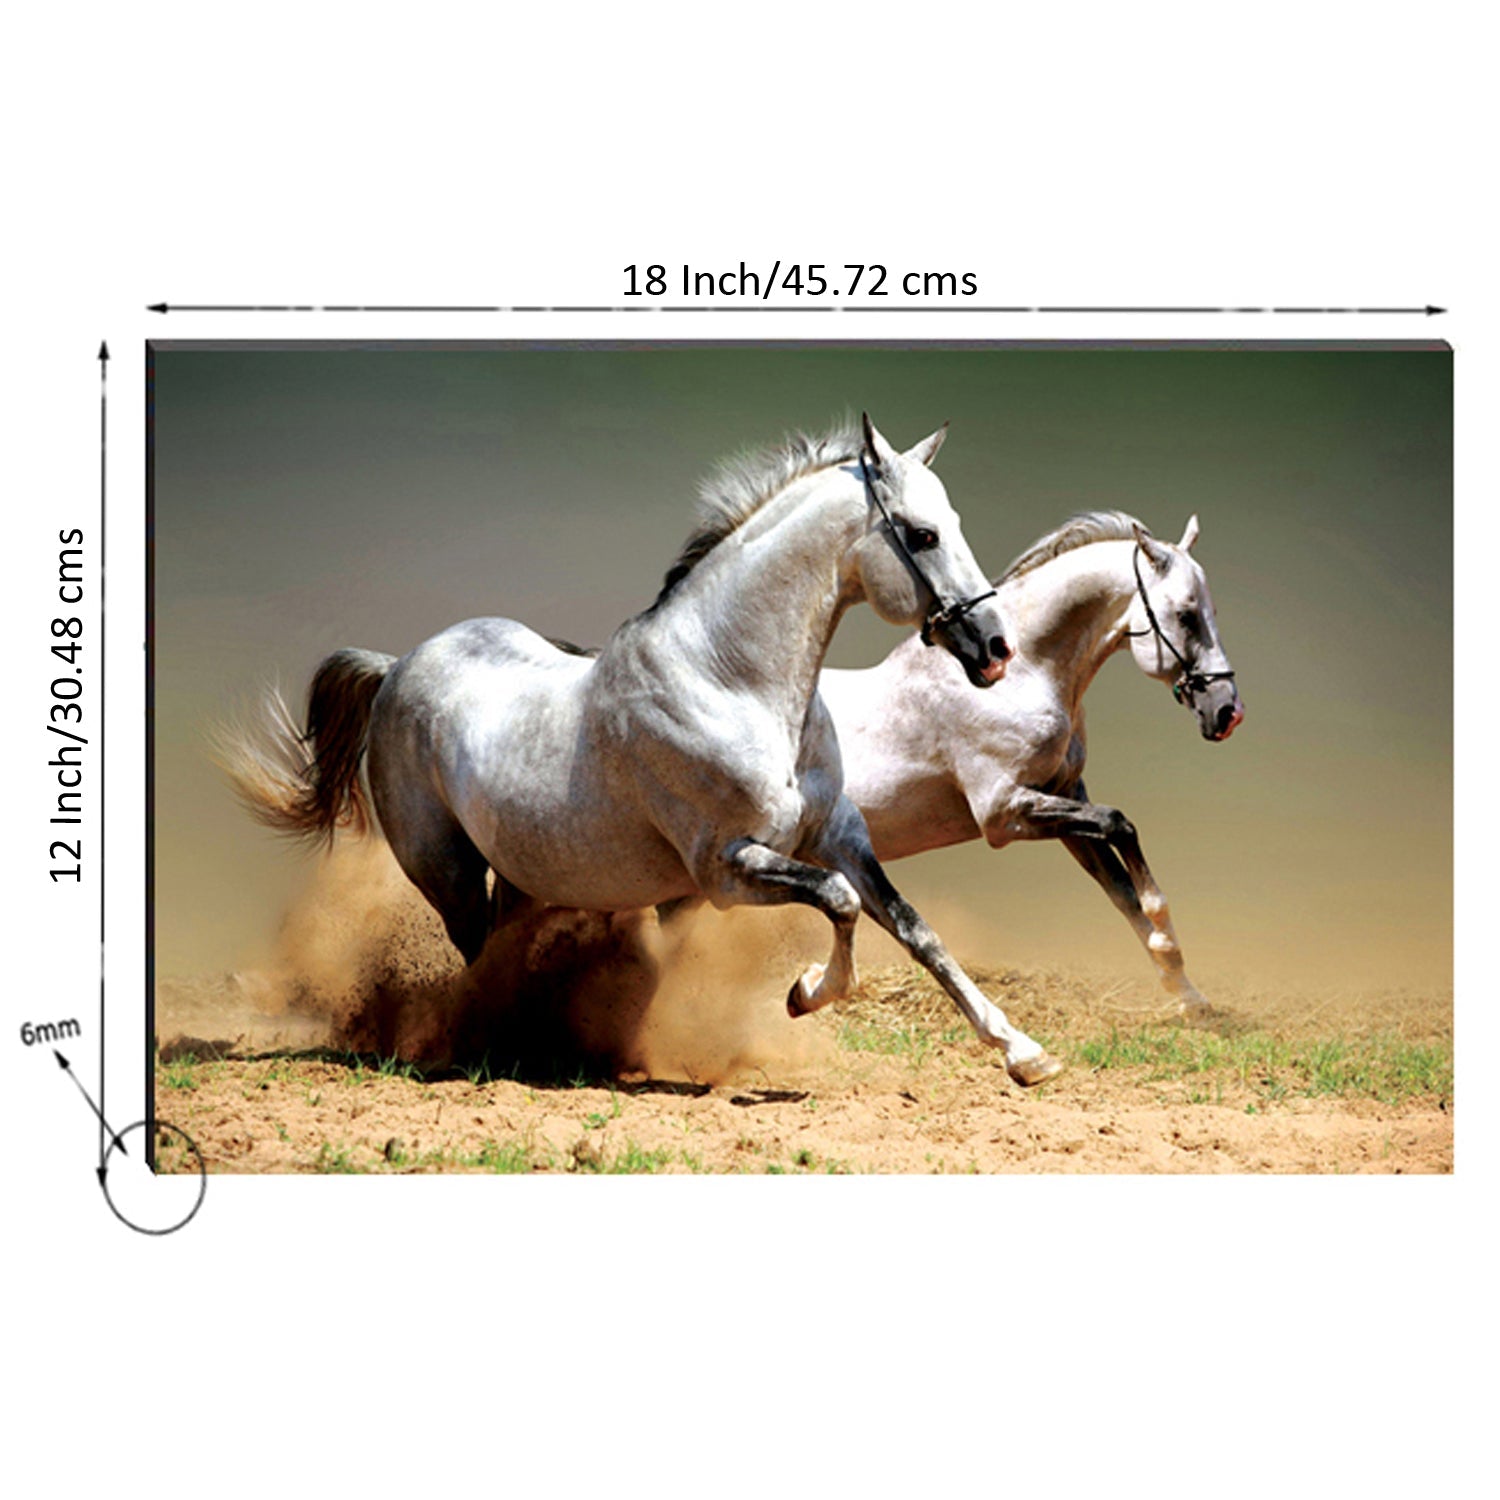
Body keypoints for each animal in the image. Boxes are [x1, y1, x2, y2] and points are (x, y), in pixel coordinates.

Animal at [224, 416, 1066, 1086]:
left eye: (952, 520)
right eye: (921, 533)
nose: (995, 649)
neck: (732, 681)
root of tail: (397, 665)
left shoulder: (838, 835)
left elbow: (914, 928)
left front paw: (1024, 1054)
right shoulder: (727, 869)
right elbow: (841, 902)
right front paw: (803, 993)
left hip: (526, 873)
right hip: (448, 872)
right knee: (474, 958)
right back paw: (492, 1047)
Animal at [817, 511, 1243, 1014]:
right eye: (1186, 615)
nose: (1227, 712)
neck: (1021, 676)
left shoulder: (1062, 797)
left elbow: (1121, 889)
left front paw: (1187, 993)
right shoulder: (1004, 813)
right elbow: (1120, 825)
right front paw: (1165, 938)